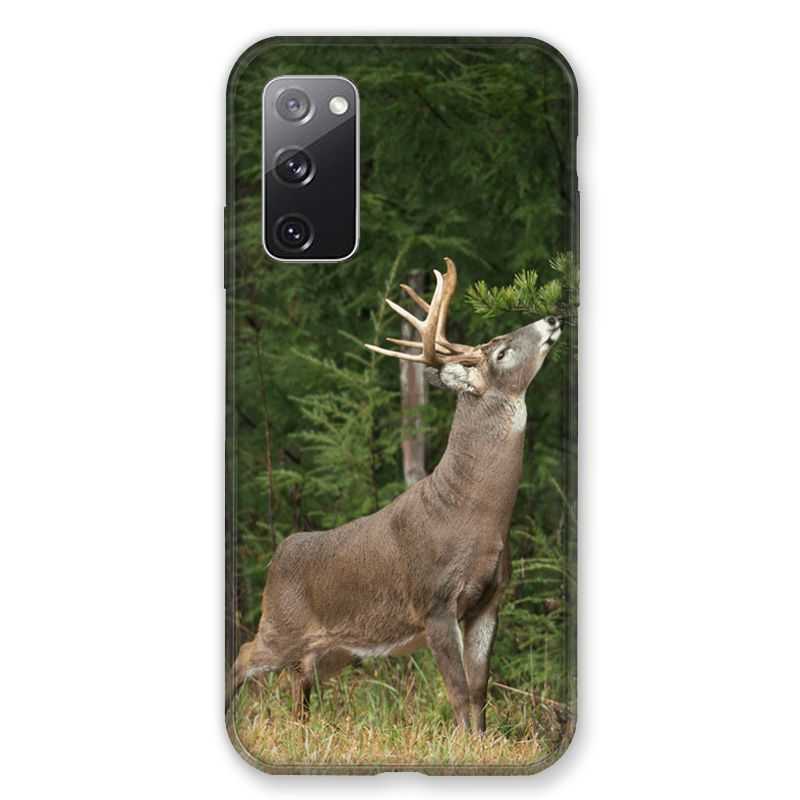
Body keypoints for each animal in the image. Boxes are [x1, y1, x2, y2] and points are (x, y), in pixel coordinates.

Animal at [230, 257, 562, 732]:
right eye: (501, 352)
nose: (552, 318)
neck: (474, 515)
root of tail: (278, 555)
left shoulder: (490, 600)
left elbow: (480, 691)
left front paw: (482, 741)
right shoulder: (435, 602)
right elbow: (458, 692)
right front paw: (463, 744)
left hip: (334, 649)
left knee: (300, 680)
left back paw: (302, 728)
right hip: (281, 623)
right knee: (243, 656)